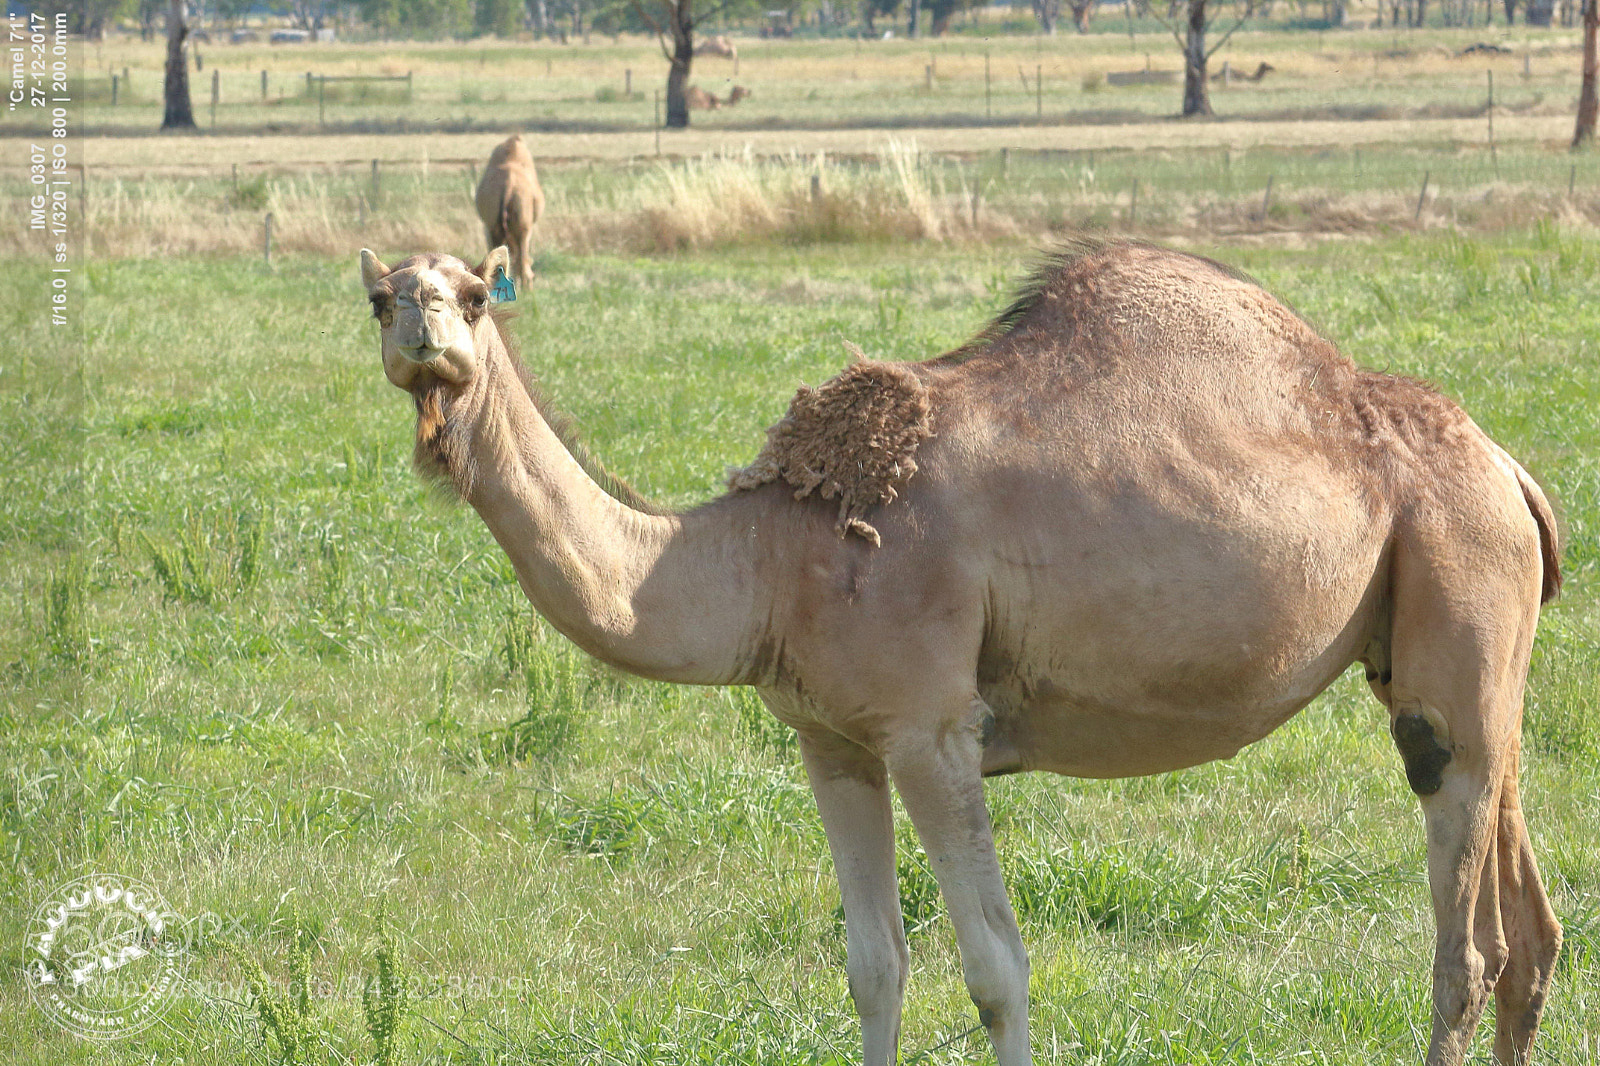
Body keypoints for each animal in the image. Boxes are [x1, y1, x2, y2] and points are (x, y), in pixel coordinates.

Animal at [358, 239, 1562, 1066]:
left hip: (1454, 568)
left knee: (1465, 938)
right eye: (378, 294)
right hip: (1453, 641)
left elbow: (994, 967)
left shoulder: (931, 729)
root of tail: (1508, 468)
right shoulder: (833, 741)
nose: (424, 335)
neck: (768, 556)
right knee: (1525, 916)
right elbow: (873, 964)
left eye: (473, 293)